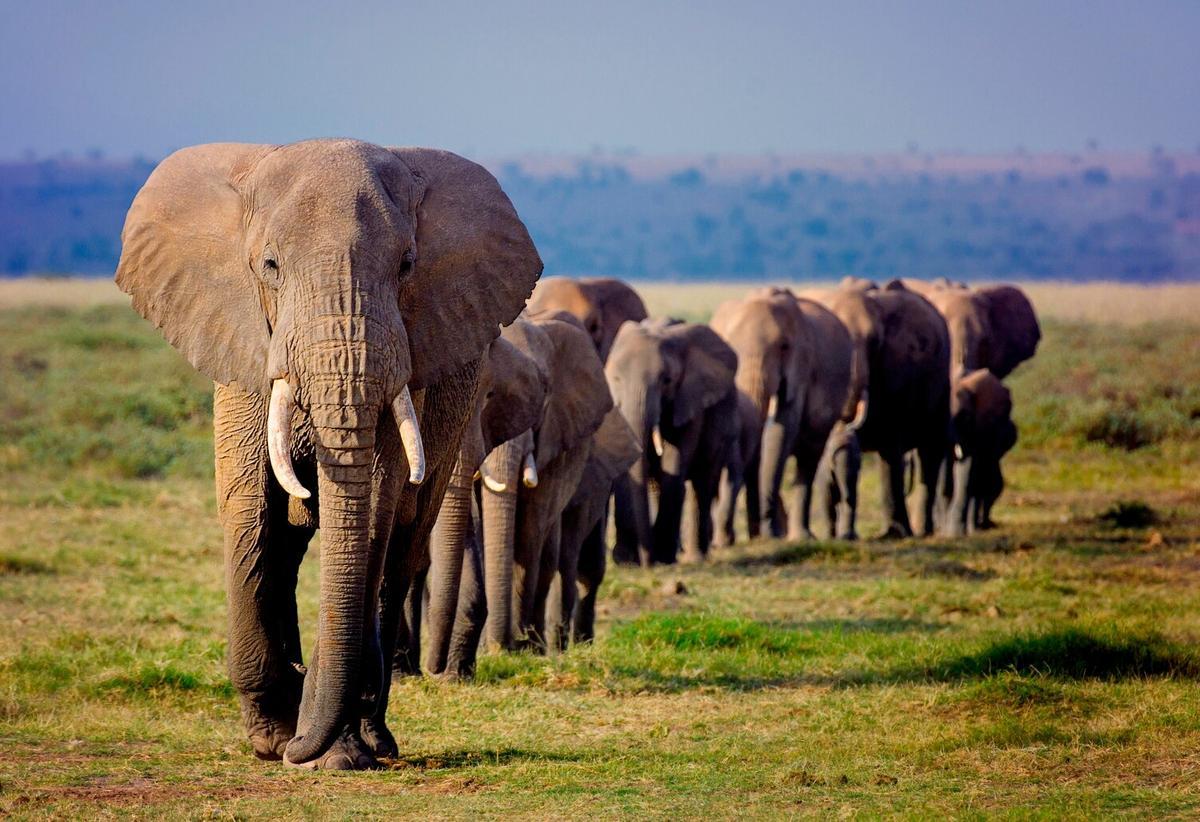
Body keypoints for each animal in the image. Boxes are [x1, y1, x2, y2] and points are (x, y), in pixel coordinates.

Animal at [114, 140, 541, 770]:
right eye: (269, 266)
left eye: (407, 266)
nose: (295, 748)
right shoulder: (244, 344)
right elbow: (250, 511)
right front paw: (273, 738)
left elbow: (373, 510)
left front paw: (327, 752)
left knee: (399, 554)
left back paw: (372, 738)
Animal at [475, 312, 613, 651]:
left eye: (546, 393)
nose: (500, 645)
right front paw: (493, 648)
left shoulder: (556, 438)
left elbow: (530, 531)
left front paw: (519, 646)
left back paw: (537, 643)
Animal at [607, 319, 739, 566]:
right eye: (616, 380)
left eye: (666, 381)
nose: (646, 563)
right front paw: (626, 560)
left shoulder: (690, 400)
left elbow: (674, 462)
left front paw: (663, 557)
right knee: (657, 484)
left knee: (703, 482)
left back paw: (695, 556)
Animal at [710, 288, 853, 543]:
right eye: (729, 347)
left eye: (784, 347)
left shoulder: (802, 366)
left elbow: (783, 426)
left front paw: (769, 534)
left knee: (808, 459)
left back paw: (800, 536)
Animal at [799, 279, 951, 539]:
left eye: (874, 343)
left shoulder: (898, 369)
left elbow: (892, 443)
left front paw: (895, 534)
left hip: (942, 384)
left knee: (931, 449)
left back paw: (923, 531)